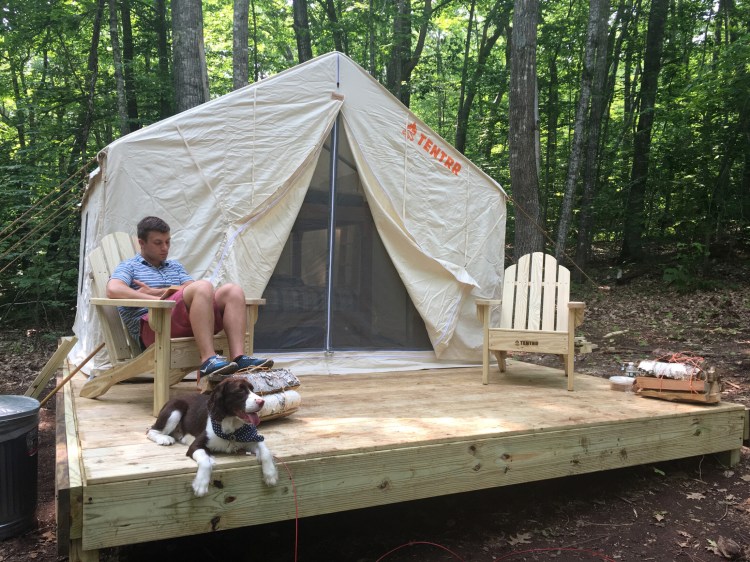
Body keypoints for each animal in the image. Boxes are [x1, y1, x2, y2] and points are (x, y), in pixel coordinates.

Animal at [145, 376, 278, 494]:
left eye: (252, 389)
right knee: (151, 430)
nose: (262, 401)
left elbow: (265, 451)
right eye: (240, 390)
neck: (231, 429)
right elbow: (205, 460)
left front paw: (271, 475)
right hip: (175, 410)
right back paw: (164, 438)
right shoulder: (196, 445)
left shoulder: (250, 438)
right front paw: (200, 485)